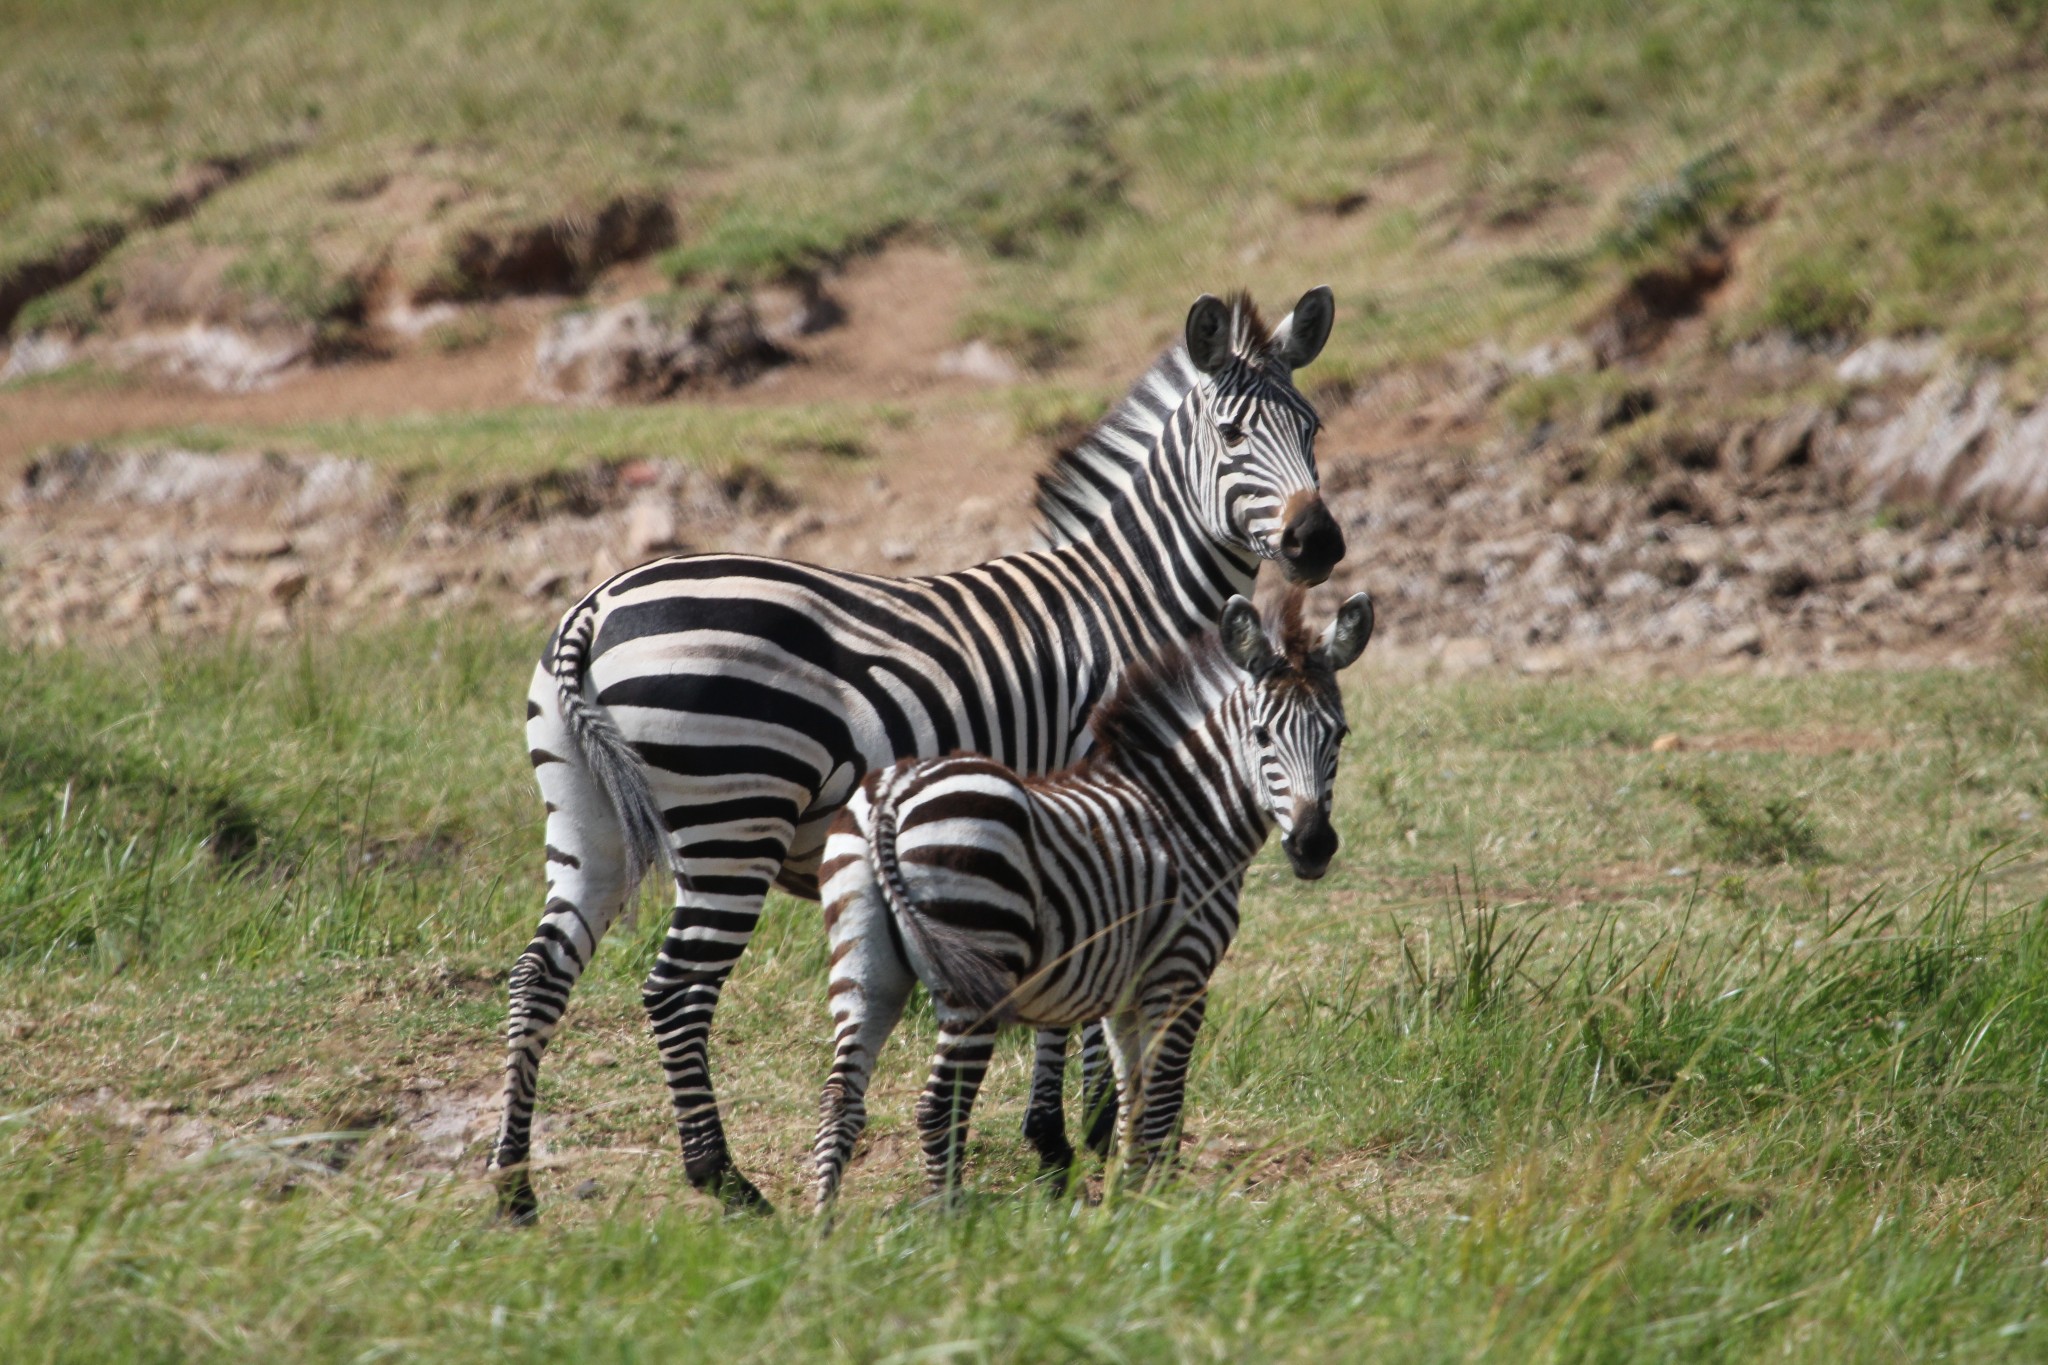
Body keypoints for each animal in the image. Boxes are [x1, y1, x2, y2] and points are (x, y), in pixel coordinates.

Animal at [806, 589, 1368, 1203]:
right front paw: (1163, 1205)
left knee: (839, 1098)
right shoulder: (1181, 975)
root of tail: (893, 792)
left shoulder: (1126, 995)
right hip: (975, 967)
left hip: (864, 967)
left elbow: (1133, 1102)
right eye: (1263, 736)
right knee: (939, 1109)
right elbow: (1163, 1105)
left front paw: (1131, 1200)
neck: (1185, 813)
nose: (1314, 846)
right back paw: (949, 1221)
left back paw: (823, 1223)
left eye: (1339, 734)